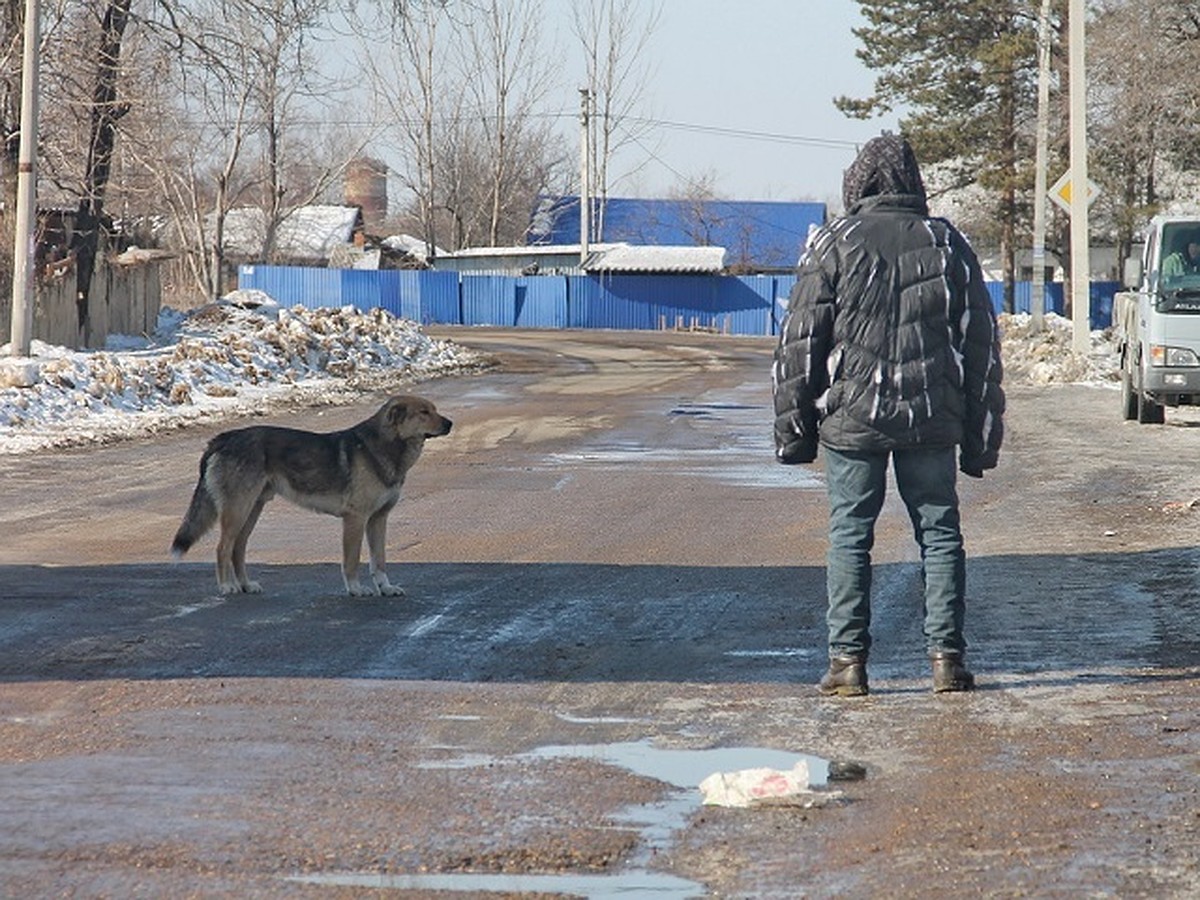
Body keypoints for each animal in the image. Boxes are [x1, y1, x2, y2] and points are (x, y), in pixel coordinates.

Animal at [169, 396, 451, 600]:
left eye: (434, 409)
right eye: (424, 412)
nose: (450, 423)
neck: (387, 447)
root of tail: (223, 438)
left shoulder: (378, 520)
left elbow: (379, 561)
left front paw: (386, 588)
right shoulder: (355, 519)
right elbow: (351, 561)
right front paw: (356, 589)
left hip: (252, 510)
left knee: (238, 549)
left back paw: (247, 585)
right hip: (237, 510)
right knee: (223, 548)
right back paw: (227, 586)